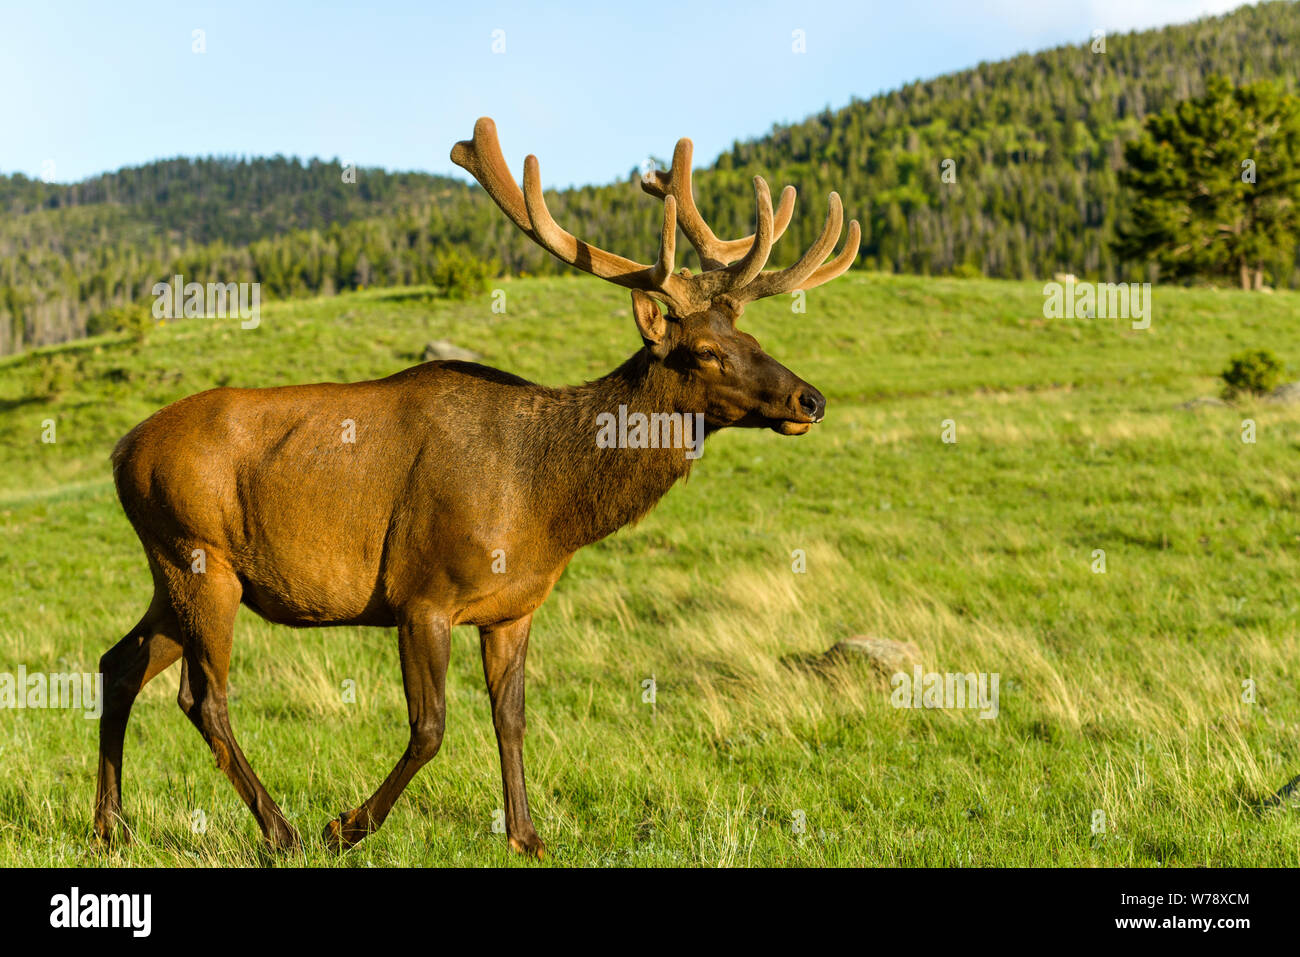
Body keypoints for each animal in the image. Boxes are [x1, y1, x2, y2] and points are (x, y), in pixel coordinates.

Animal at [94, 115, 863, 858]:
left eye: (754, 339)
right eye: (705, 350)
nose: (812, 399)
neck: (548, 508)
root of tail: (122, 451)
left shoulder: (513, 608)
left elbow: (511, 718)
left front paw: (527, 834)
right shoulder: (420, 592)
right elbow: (430, 727)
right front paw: (346, 825)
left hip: (176, 575)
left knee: (120, 661)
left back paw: (111, 826)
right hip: (198, 557)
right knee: (203, 697)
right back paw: (280, 830)